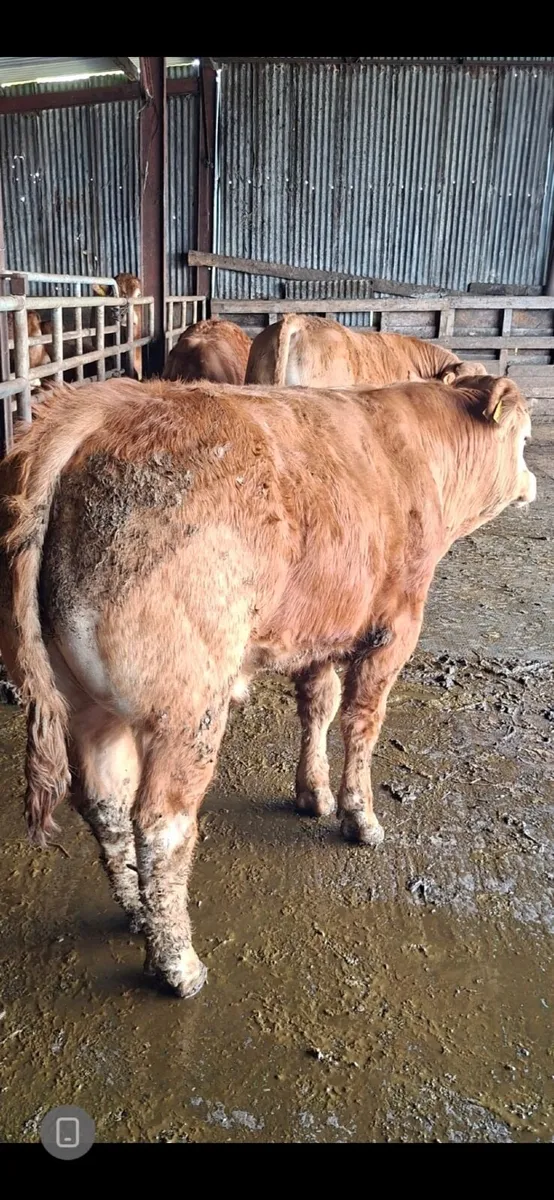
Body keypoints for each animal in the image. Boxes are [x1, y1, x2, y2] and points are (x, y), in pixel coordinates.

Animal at [0, 373, 535, 999]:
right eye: (525, 437)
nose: (533, 482)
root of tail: (103, 406)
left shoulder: (320, 633)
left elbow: (318, 706)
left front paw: (312, 793)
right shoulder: (395, 626)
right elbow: (362, 721)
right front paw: (360, 818)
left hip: (88, 703)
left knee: (106, 804)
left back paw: (137, 911)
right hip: (189, 705)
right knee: (161, 821)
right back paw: (179, 965)